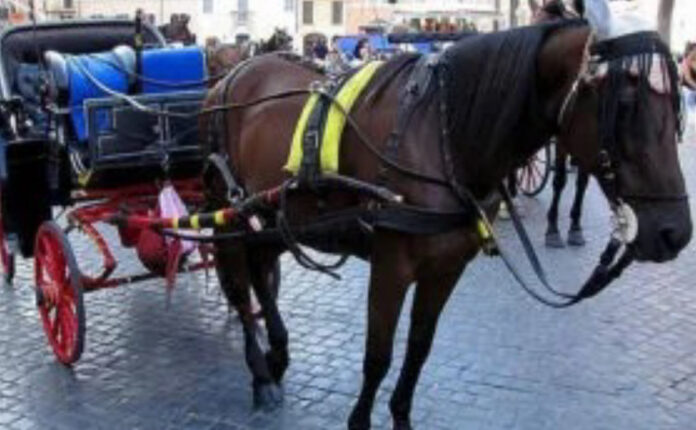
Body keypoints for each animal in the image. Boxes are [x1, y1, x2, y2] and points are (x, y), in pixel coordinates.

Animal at [201, 4, 692, 430]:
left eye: (675, 107)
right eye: (625, 106)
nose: (675, 233)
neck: (445, 136)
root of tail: (230, 77)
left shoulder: (447, 266)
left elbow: (419, 348)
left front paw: (400, 416)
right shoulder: (391, 264)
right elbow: (378, 356)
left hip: (269, 214)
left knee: (262, 271)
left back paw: (277, 354)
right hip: (229, 211)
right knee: (239, 287)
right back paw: (261, 374)